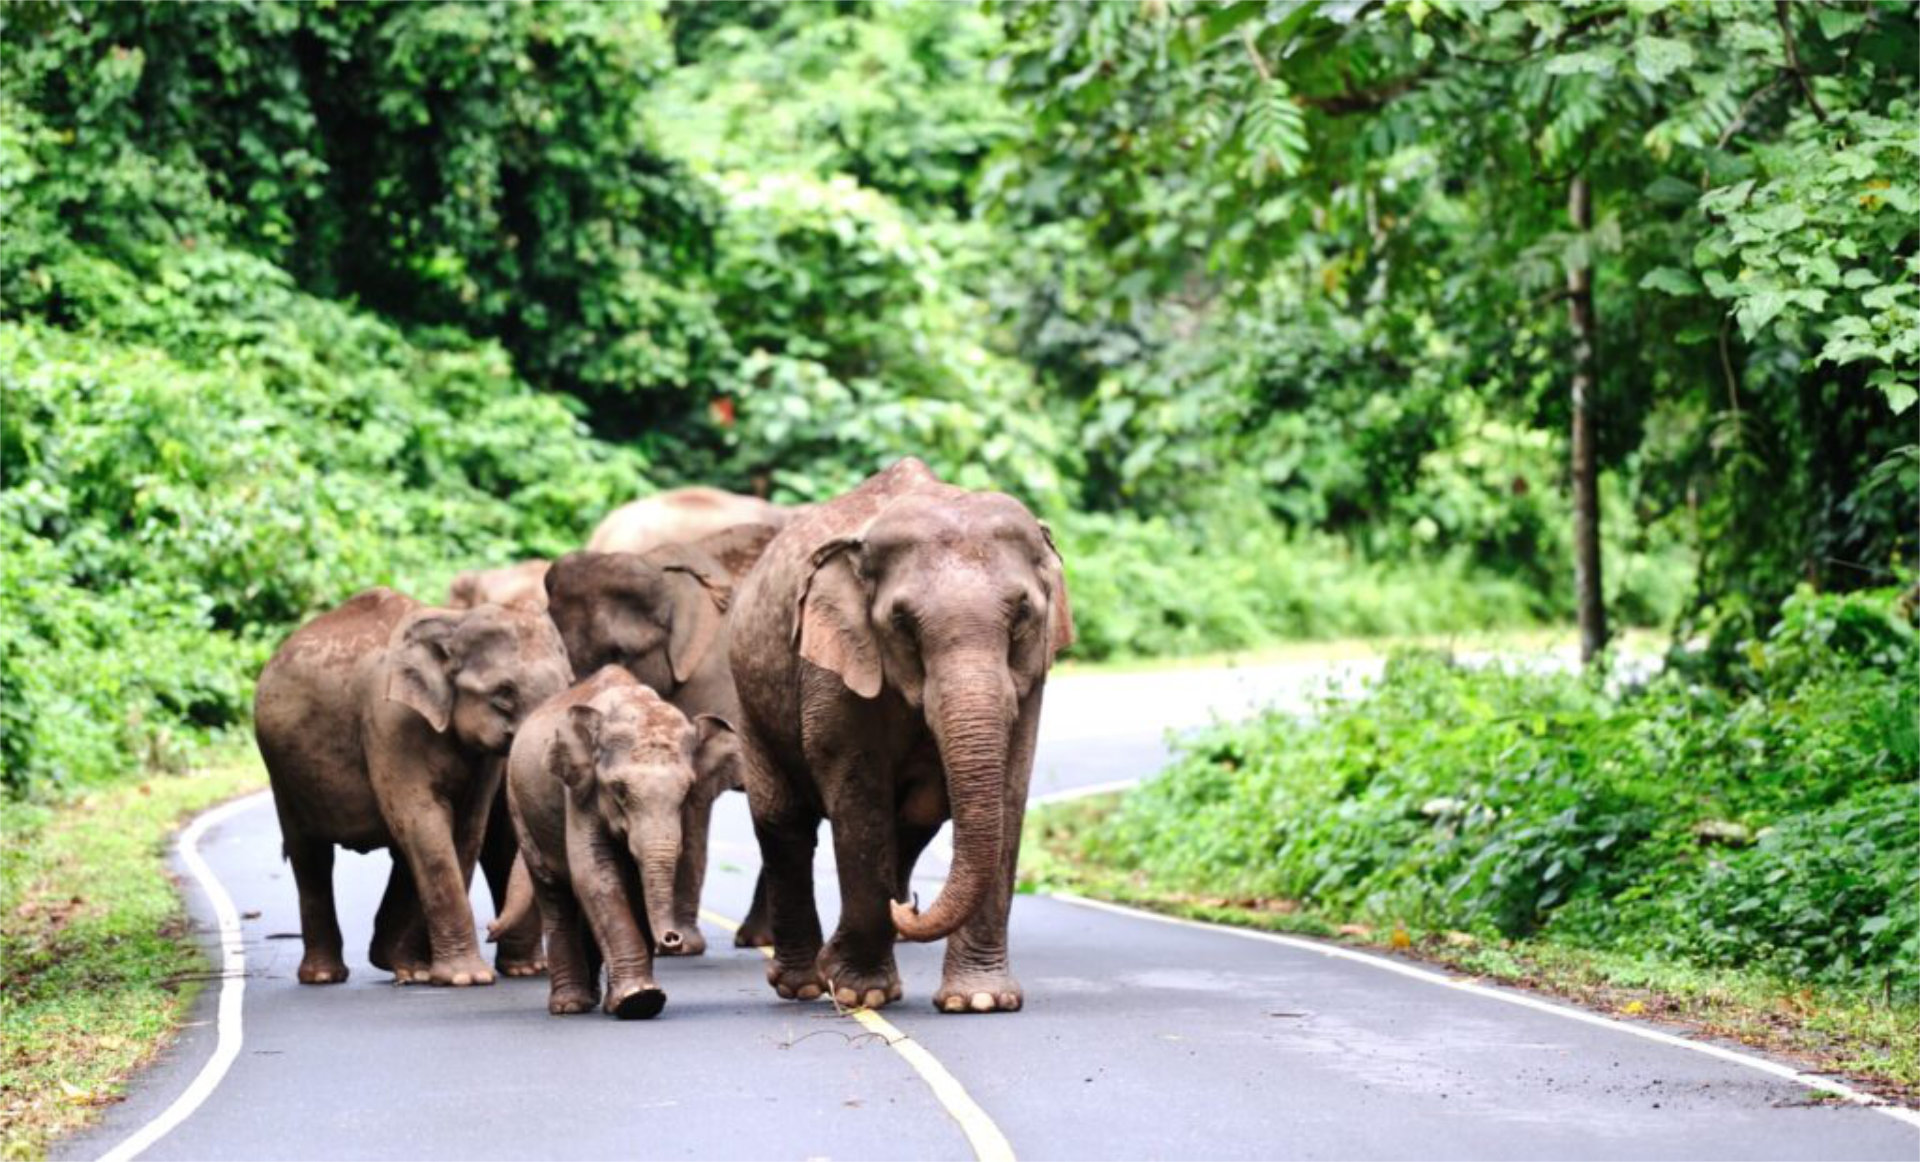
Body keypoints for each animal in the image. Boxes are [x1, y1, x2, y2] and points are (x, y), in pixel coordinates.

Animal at [255, 583, 568, 983]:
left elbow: (465, 829)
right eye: (503, 695)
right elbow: (423, 821)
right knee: (310, 854)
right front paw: (465, 978)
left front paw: (428, 972)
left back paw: (403, 965)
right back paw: (327, 976)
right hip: (282, 773)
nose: (491, 929)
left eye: (569, 685)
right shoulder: (389, 720)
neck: (453, 622)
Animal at [499, 660, 729, 1014]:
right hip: (518, 805)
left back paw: (595, 999)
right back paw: (570, 1006)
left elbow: (631, 883)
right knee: (553, 893)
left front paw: (635, 1001)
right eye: (619, 790)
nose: (672, 939)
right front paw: (639, 1000)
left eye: (687, 791)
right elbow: (595, 874)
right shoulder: (580, 791)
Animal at [537, 518, 775, 952]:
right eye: (560, 649)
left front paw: (682, 945)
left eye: (620, 653)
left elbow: (695, 800)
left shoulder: (719, 678)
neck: (661, 565)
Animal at [725, 457, 1075, 1014]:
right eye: (902, 622)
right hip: (750, 702)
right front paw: (858, 991)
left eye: (1022, 614)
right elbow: (858, 794)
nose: (909, 905)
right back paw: (804, 985)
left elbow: (1010, 790)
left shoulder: (1032, 675)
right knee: (784, 822)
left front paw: (980, 1001)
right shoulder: (833, 667)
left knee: (913, 823)